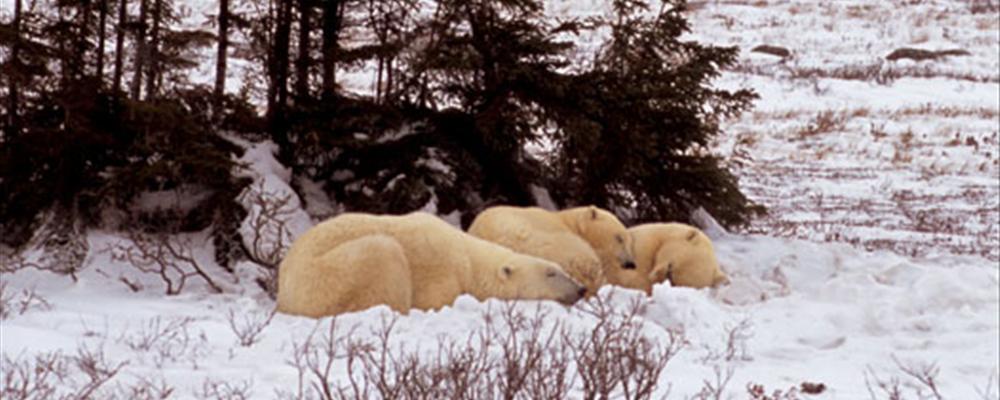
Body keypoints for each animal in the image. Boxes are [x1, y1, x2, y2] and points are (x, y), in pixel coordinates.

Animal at [276, 212, 586, 318]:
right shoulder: (441, 272)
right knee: (385, 252)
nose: (581, 289)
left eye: (563, 269)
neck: (468, 259)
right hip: (328, 276)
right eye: (551, 273)